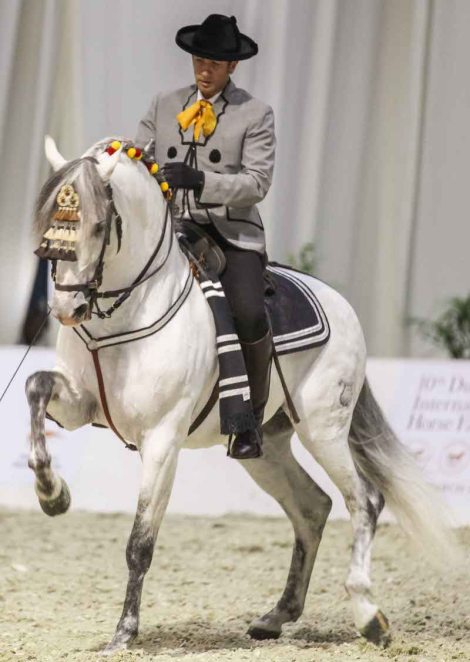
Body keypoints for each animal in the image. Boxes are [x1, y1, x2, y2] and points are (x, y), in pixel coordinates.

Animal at [25, 136, 456, 654]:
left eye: (99, 224)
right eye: (48, 222)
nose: (67, 308)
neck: (125, 316)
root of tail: (339, 303)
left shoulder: (162, 440)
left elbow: (140, 543)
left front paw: (123, 634)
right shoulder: (77, 406)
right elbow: (35, 387)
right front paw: (52, 495)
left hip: (323, 430)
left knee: (364, 501)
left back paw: (369, 617)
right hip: (265, 446)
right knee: (313, 507)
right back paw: (277, 616)